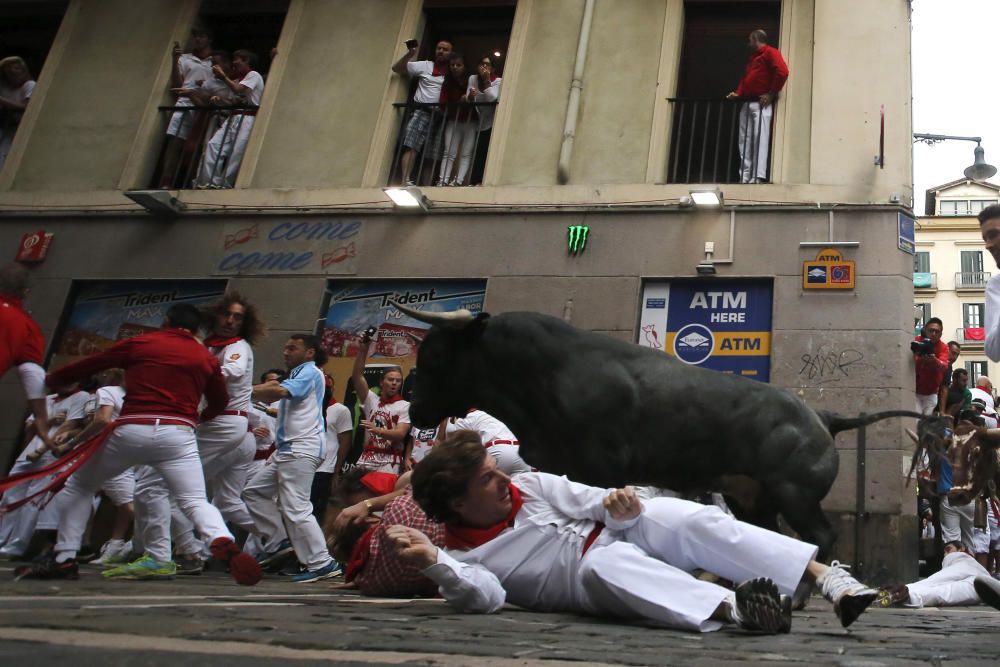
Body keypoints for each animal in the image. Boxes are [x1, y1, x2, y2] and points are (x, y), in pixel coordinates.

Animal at [394, 306, 924, 560]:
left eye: (434, 353)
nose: (414, 405)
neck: (546, 372)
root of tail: (821, 415)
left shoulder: (601, 469)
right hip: (757, 500)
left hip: (795, 494)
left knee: (820, 536)